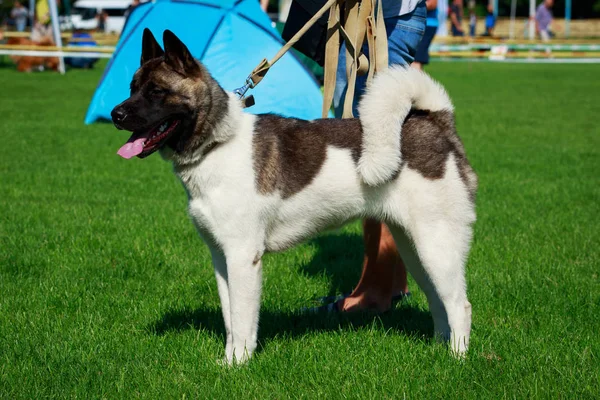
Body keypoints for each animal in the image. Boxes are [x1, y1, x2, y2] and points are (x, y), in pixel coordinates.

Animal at [111, 28, 478, 366]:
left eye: (157, 92)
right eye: (131, 88)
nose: (116, 114)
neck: (218, 144)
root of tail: (437, 121)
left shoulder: (243, 257)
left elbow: (242, 320)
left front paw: (239, 364)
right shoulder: (221, 257)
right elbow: (230, 317)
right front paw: (228, 361)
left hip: (437, 245)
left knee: (459, 304)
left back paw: (457, 359)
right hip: (415, 249)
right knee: (437, 300)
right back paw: (439, 349)